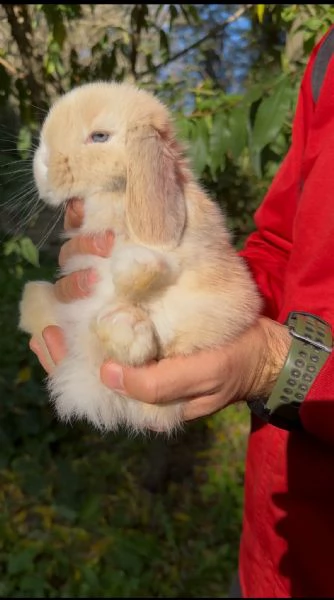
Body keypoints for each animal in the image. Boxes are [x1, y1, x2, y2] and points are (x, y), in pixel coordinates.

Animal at [18, 81, 264, 436]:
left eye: (99, 136)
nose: (42, 165)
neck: (114, 195)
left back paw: (129, 301)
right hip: (42, 298)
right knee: (36, 303)